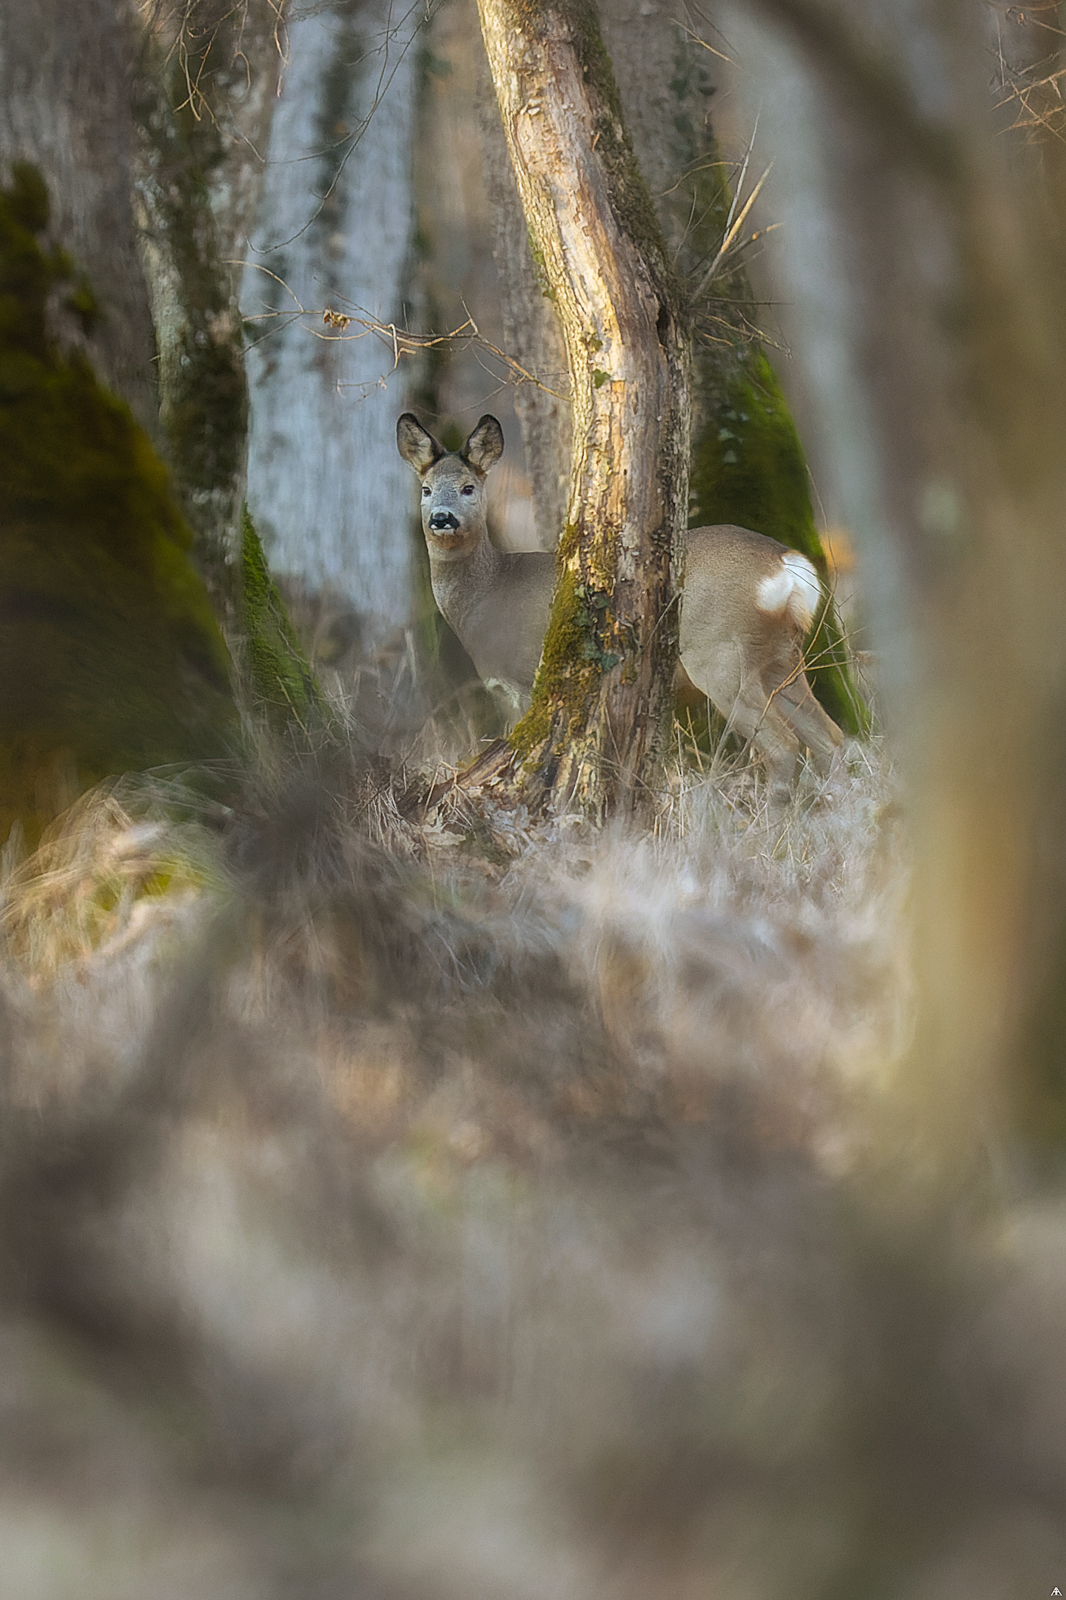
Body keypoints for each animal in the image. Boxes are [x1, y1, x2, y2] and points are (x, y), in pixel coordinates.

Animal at [397, 412, 844, 797]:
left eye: (468, 488)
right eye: (426, 489)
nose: (441, 518)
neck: (487, 593)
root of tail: (786, 563)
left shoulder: (520, 679)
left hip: (721, 656)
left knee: (786, 746)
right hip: (781, 658)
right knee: (830, 738)